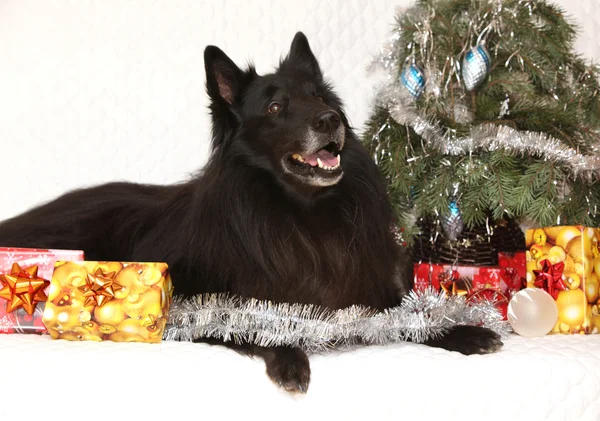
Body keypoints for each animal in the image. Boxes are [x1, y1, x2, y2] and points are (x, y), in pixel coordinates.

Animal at [0, 32, 502, 390]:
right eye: (276, 107)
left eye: (321, 99)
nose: (330, 121)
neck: (303, 216)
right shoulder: (198, 304)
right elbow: (253, 324)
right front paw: (289, 356)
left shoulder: (368, 294)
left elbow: (413, 317)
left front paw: (463, 332)